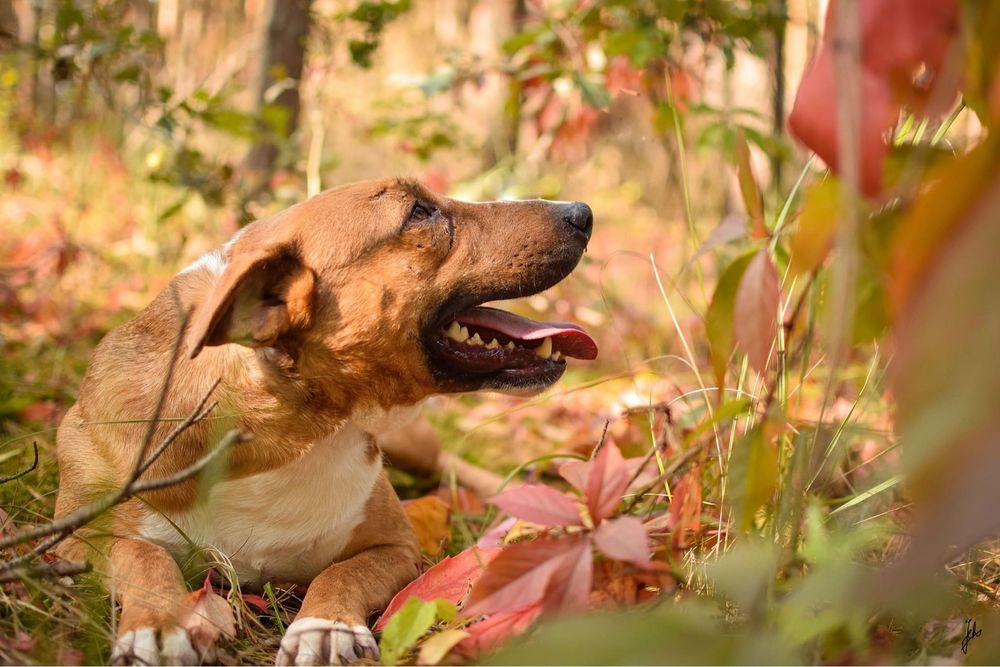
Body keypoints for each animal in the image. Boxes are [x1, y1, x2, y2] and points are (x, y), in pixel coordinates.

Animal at [54, 180, 596, 664]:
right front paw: (161, 623)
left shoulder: (398, 547)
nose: (583, 213)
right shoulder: (77, 540)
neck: (283, 427)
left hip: (416, 445)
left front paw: (324, 625)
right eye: (418, 212)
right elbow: (143, 556)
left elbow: (340, 573)